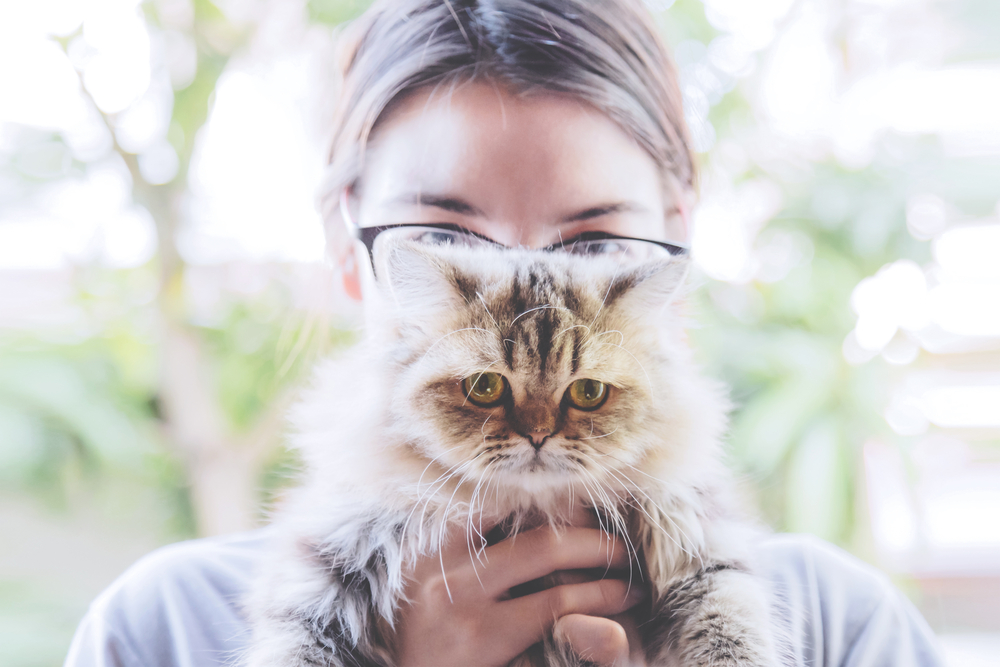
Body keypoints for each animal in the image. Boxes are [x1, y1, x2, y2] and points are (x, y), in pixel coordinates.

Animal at [244, 241, 780, 667]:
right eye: (485, 387)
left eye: (588, 392)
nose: (538, 435)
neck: (532, 508)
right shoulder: (332, 555)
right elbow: (297, 646)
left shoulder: (699, 539)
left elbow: (731, 628)